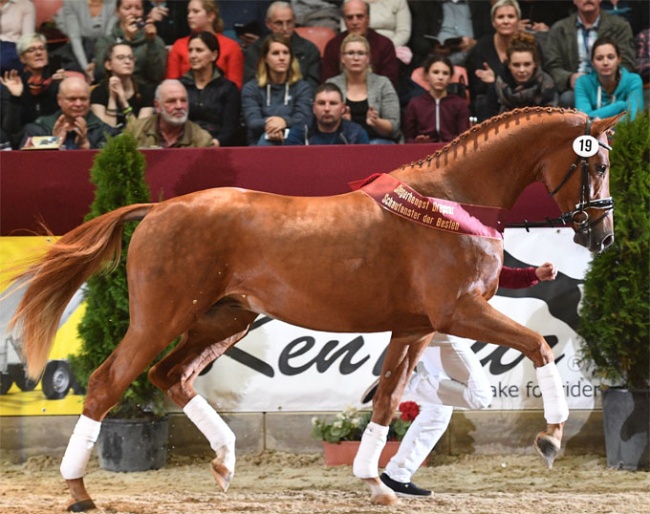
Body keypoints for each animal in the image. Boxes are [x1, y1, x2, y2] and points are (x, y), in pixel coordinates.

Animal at [8, 108, 616, 508]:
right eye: (596, 166)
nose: (603, 234)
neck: (451, 202)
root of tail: (157, 210)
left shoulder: (415, 329)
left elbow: (388, 400)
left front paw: (374, 481)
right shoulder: (457, 314)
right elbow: (538, 346)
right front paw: (550, 438)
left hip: (224, 319)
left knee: (170, 375)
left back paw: (225, 462)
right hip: (161, 318)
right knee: (107, 383)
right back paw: (79, 491)